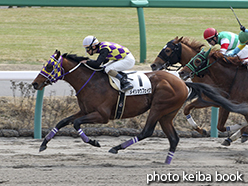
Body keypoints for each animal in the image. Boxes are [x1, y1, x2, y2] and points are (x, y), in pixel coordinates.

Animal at [31, 50, 248, 163]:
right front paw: (43, 144)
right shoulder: (85, 110)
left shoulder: (102, 115)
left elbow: (76, 124)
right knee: (173, 138)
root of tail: (182, 82)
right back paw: (167, 162)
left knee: (147, 131)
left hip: (159, 107)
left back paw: (116, 148)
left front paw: (94, 142)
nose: (35, 84)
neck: (90, 81)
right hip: (167, 113)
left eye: (48, 66)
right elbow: (63, 121)